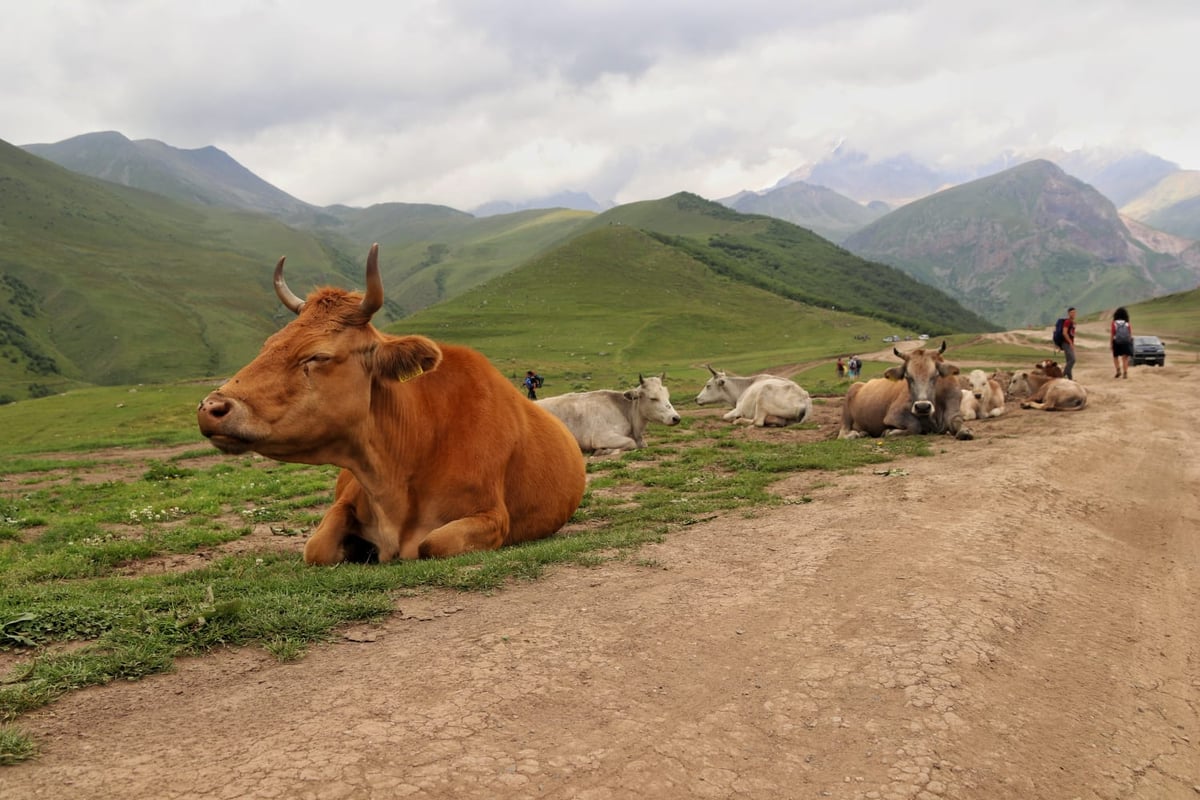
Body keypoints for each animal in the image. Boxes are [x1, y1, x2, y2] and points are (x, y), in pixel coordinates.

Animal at [196, 244, 585, 563]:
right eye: (268, 344)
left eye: (318, 355)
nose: (211, 408)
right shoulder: (345, 503)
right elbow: (316, 548)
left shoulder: (491, 516)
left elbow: (431, 544)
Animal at [835, 340, 974, 441]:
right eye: (908, 377)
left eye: (935, 375)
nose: (922, 407)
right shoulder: (893, 414)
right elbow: (915, 425)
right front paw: (889, 431)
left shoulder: (953, 409)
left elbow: (958, 422)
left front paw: (966, 431)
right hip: (846, 412)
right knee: (842, 433)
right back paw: (855, 434)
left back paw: (864, 433)